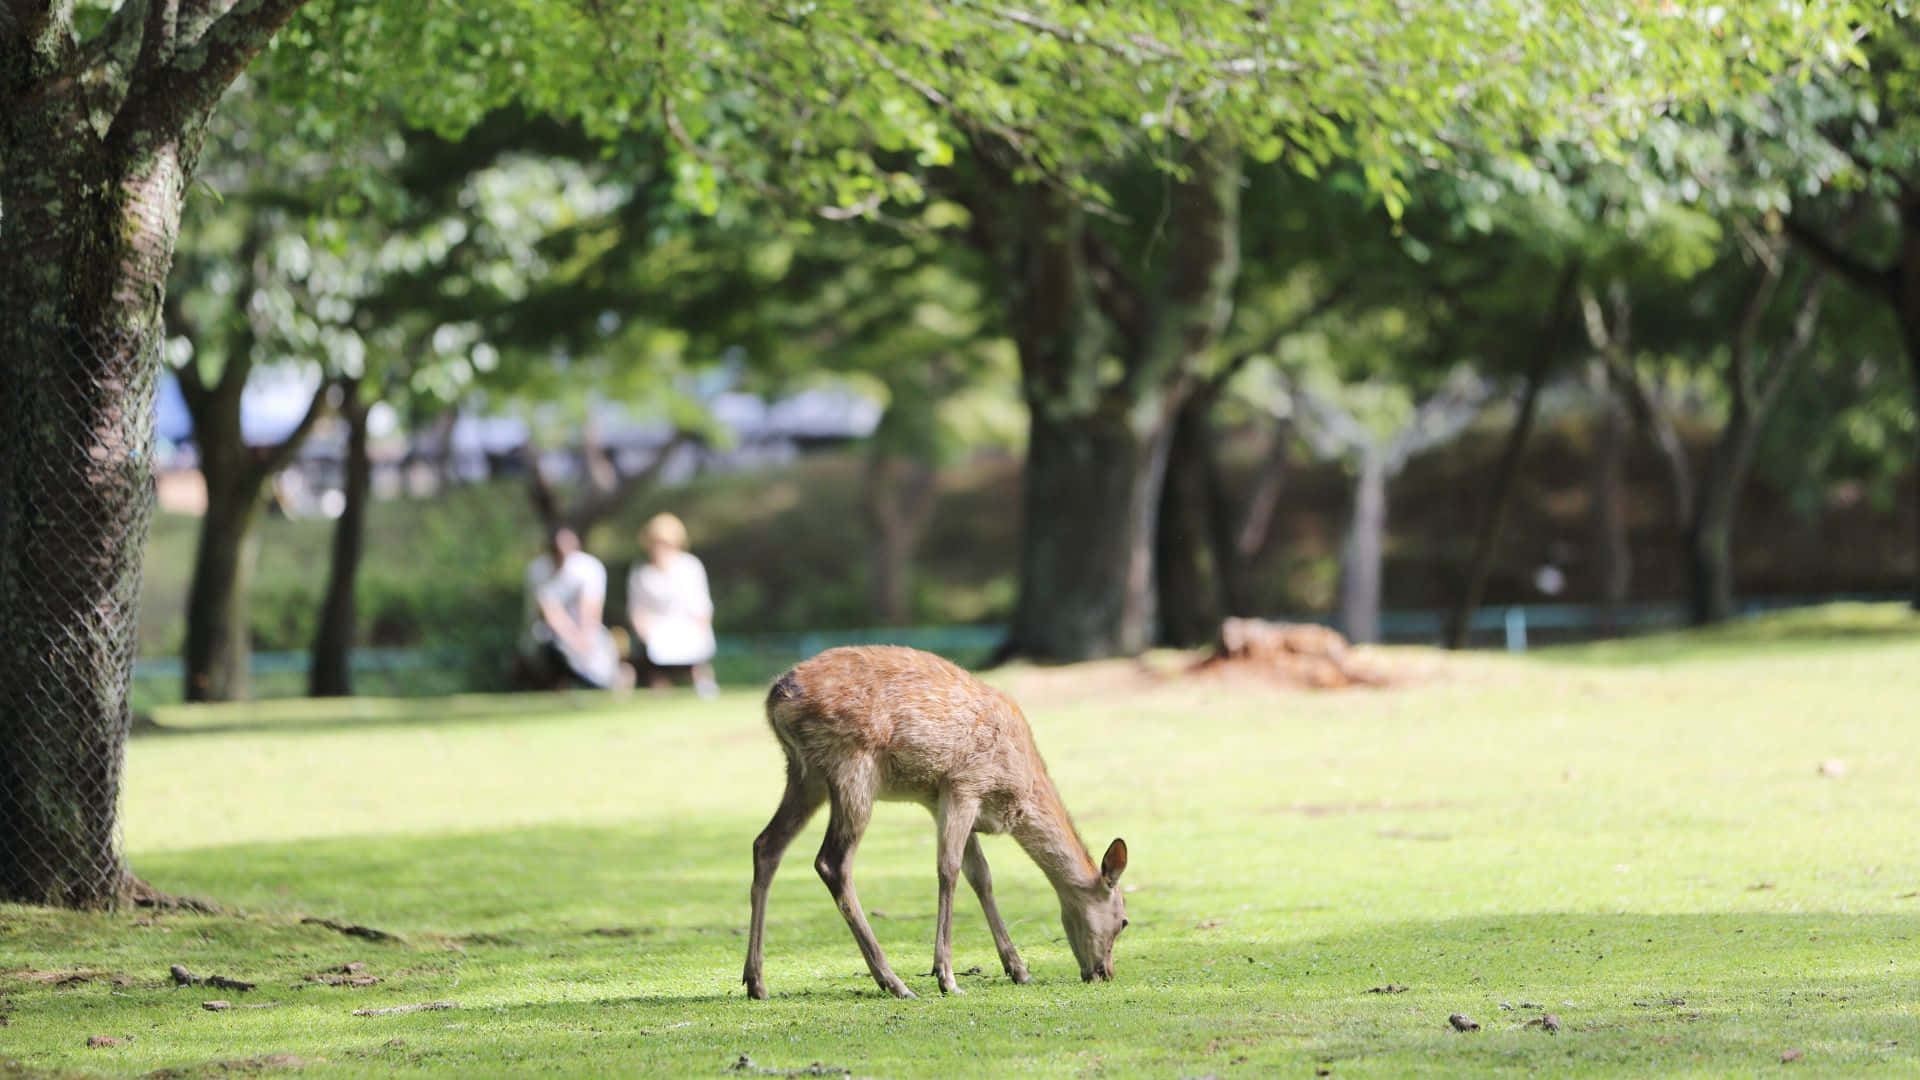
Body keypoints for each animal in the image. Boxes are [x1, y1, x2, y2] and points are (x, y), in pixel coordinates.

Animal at [742, 645, 1129, 999]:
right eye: (1124, 921)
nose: (1105, 972)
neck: (1019, 789)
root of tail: (778, 695)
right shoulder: (964, 784)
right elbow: (949, 868)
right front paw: (947, 977)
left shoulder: (936, 798)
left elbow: (981, 875)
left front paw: (1018, 969)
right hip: (853, 765)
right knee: (831, 862)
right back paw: (894, 982)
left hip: (805, 774)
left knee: (766, 844)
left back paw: (756, 982)